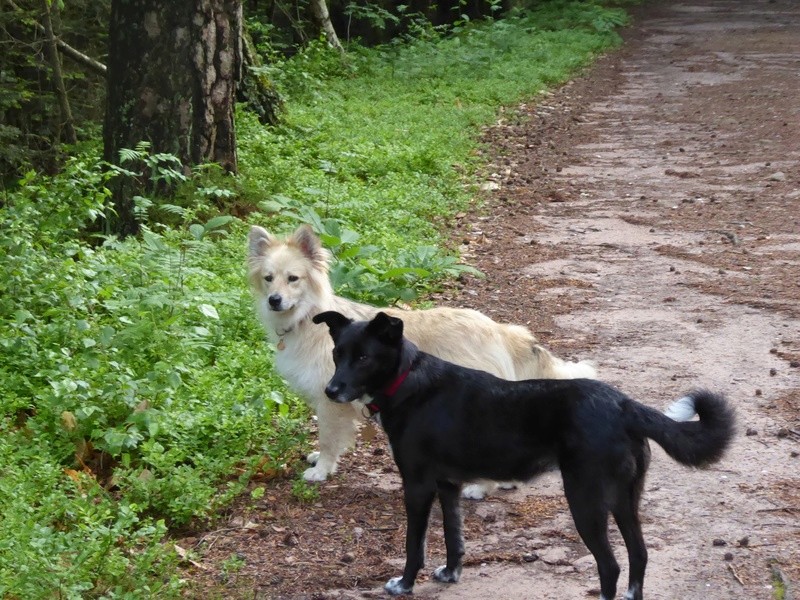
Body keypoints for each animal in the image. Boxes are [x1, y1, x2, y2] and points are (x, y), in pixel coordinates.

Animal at [247, 224, 596, 496]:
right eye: (268, 278)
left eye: (293, 279)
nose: (274, 300)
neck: (307, 318)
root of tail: (498, 328)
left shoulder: (331, 400)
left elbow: (330, 439)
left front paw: (322, 468)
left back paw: (479, 488)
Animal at [312, 312, 736, 596]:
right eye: (337, 353)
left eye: (363, 358)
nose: (330, 391)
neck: (408, 381)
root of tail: (624, 405)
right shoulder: (448, 486)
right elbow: (453, 538)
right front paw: (450, 573)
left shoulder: (417, 486)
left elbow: (413, 546)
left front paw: (404, 583)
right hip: (624, 499)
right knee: (639, 556)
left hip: (585, 501)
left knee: (611, 565)